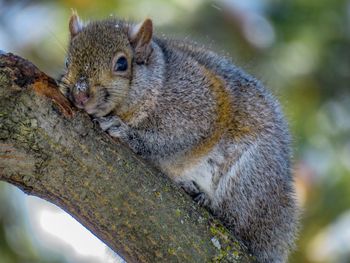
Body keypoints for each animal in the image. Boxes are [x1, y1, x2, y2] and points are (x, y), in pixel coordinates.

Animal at [59, 13, 298, 262]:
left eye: (122, 63)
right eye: (67, 62)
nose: (79, 94)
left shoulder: (201, 106)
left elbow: (173, 142)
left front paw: (126, 133)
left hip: (252, 177)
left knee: (236, 221)